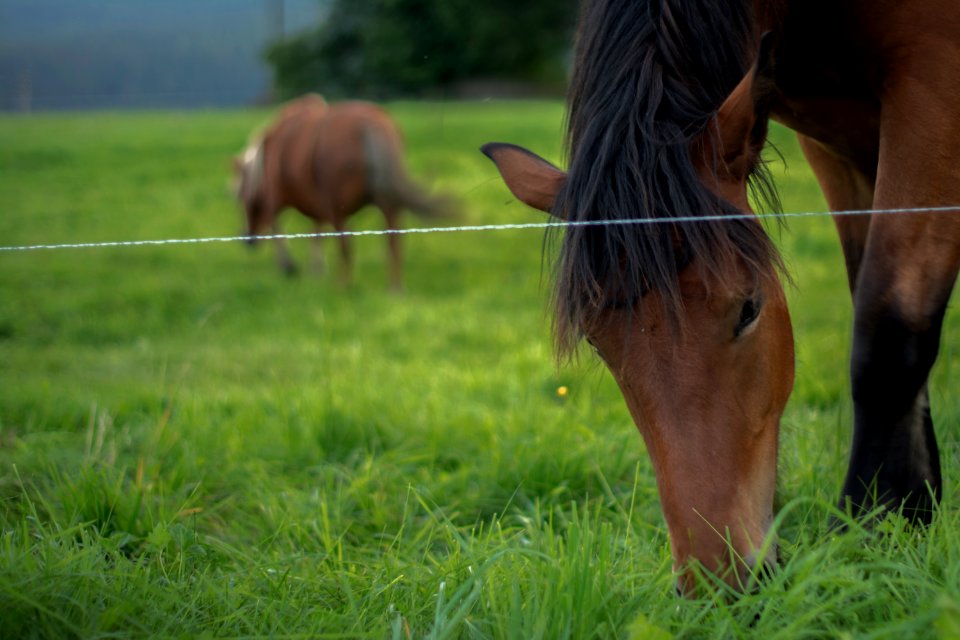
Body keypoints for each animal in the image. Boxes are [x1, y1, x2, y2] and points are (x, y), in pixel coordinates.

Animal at [238, 95, 452, 290]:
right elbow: (316, 230)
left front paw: (290, 267)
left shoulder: (275, 196)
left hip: (338, 209)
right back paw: (395, 288)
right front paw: (316, 269)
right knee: (393, 242)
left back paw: (343, 285)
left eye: (239, 195)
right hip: (388, 204)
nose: (247, 240)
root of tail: (368, 124)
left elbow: (277, 226)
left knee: (346, 245)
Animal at [488, 0, 960, 596]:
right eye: (597, 343)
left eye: (749, 309)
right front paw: (912, 510)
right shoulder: (833, 143)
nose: (719, 582)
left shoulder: (933, 90)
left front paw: (873, 522)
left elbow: (889, 327)